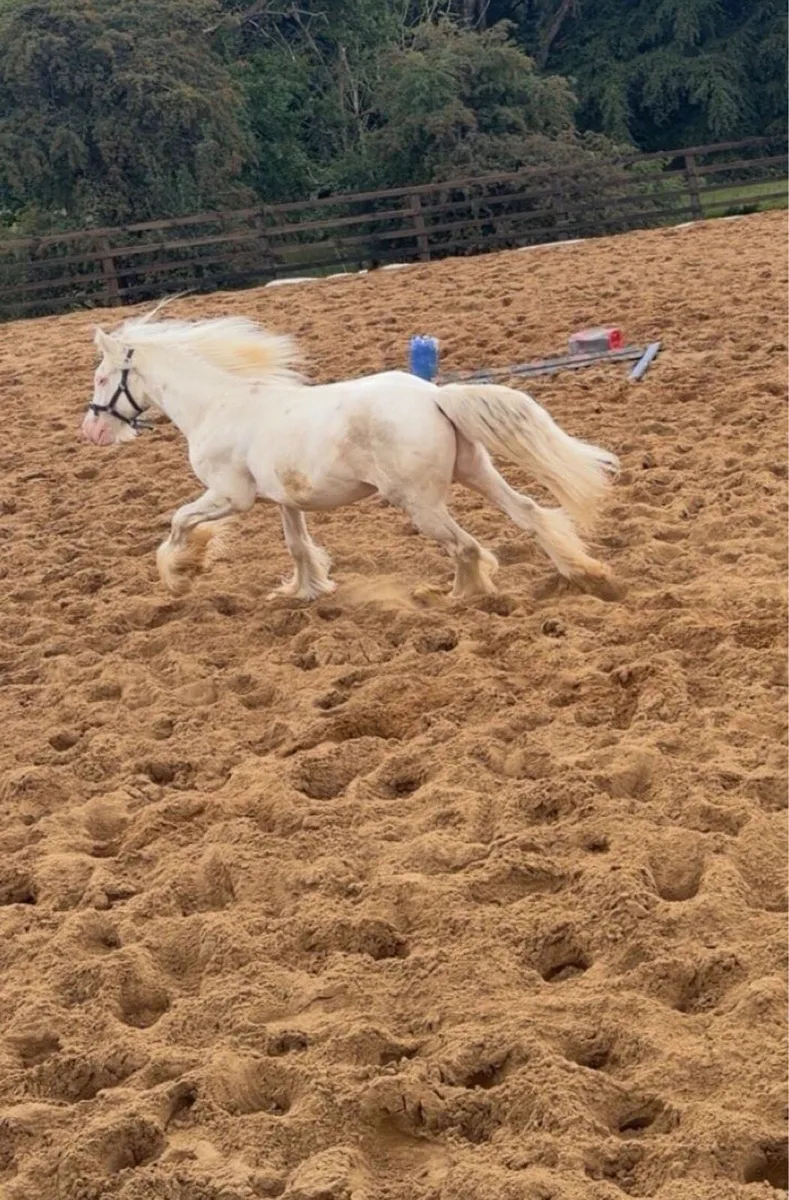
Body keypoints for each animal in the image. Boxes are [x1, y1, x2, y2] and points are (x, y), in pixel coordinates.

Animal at [81, 311, 620, 602]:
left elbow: (178, 522)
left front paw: (181, 572)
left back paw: (463, 594)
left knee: (466, 547)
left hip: (420, 504)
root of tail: (434, 396)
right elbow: (297, 547)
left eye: (103, 378)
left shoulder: (229, 496)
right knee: (529, 513)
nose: (92, 431)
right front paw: (305, 590)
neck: (216, 405)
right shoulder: (285, 501)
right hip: (475, 472)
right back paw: (585, 572)